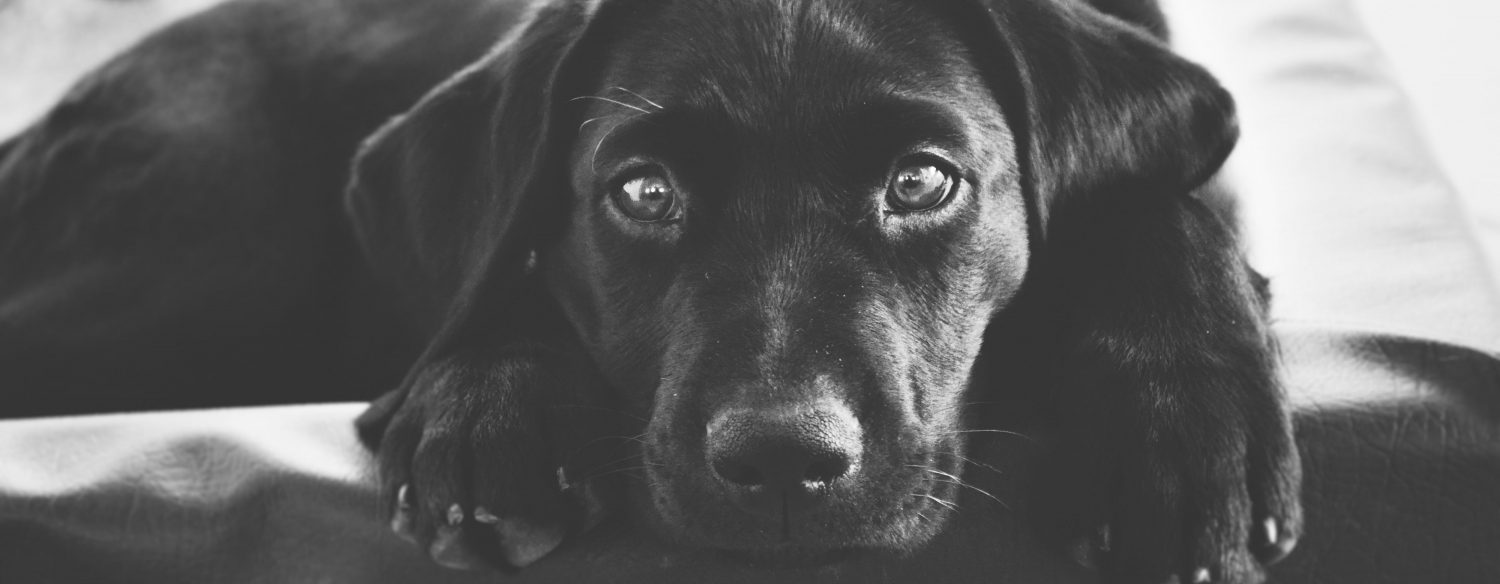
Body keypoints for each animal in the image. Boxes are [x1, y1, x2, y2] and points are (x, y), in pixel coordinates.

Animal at [0, 0, 1302, 576]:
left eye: (924, 181)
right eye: (643, 190)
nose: (783, 460)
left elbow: (1149, 205)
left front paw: (1182, 425)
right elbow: (503, 269)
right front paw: (491, 414)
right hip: (192, 267)